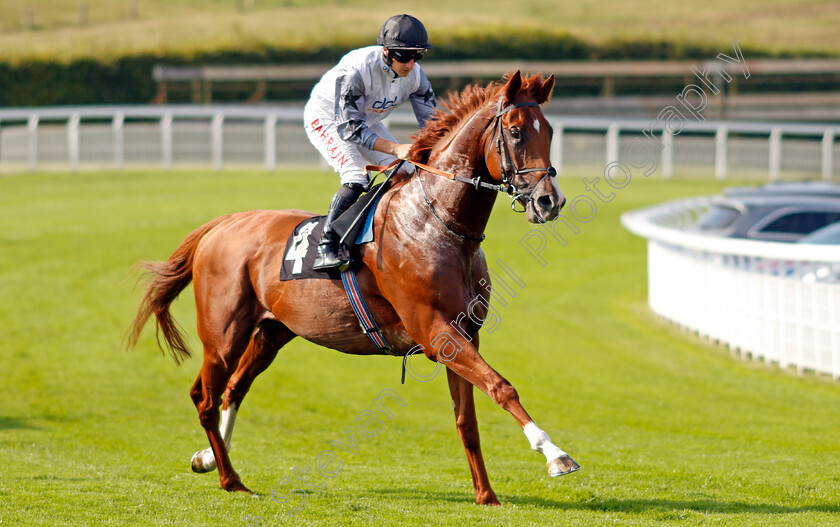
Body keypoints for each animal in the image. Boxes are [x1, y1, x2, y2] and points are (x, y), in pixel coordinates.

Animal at [128, 72, 580, 506]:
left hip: (272, 332)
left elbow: (467, 419)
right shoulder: (436, 333)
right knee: (205, 397)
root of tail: (221, 224)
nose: (548, 201)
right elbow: (502, 387)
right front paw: (556, 455)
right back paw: (231, 480)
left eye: (549, 131)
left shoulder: (465, 334)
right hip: (223, 336)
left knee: (233, 389)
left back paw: (208, 458)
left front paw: (486, 495)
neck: (436, 224)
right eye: (516, 132)